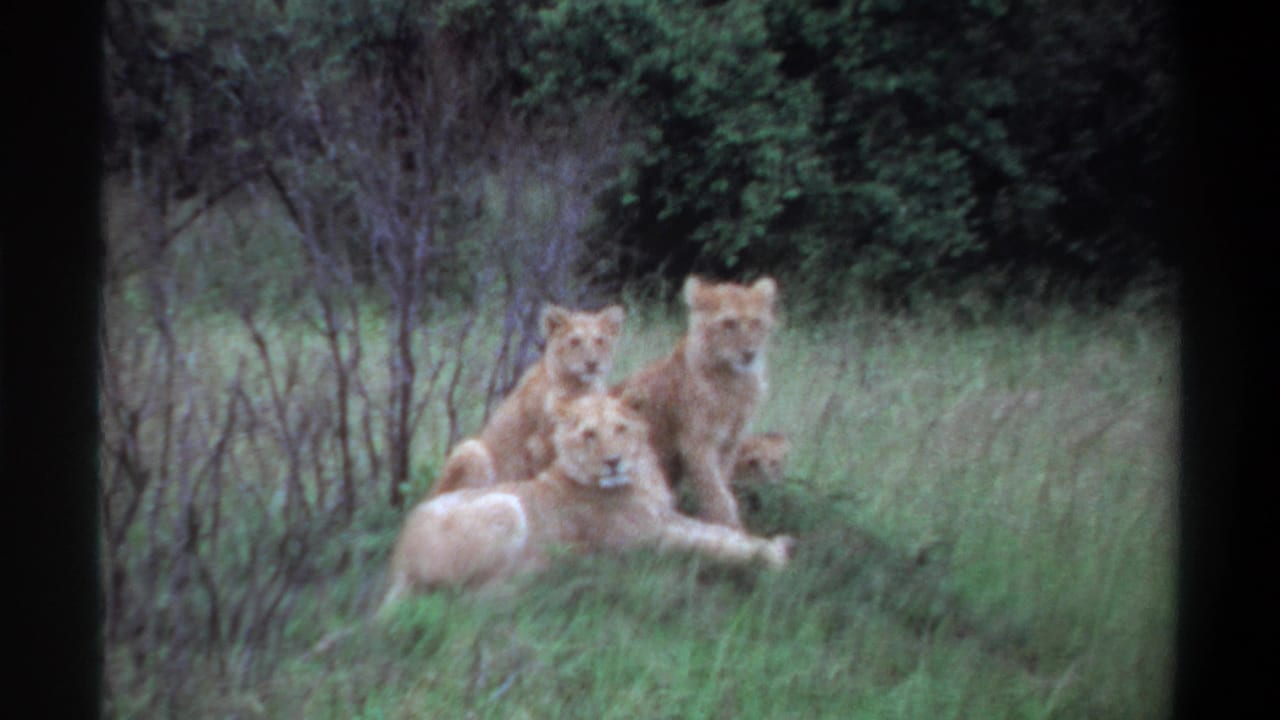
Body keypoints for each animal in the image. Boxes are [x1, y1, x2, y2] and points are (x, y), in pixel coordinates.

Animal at [381, 393, 792, 610]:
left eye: (621, 429)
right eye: (589, 435)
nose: (613, 461)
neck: (640, 476)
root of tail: (397, 557)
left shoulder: (665, 517)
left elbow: (719, 533)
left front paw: (772, 544)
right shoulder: (647, 540)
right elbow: (709, 545)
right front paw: (772, 557)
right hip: (505, 506)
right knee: (470, 598)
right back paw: (551, 576)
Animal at [427, 304, 625, 498]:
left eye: (600, 341)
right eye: (575, 342)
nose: (592, 364)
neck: (581, 386)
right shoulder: (538, 444)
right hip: (471, 450)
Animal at [613, 276, 778, 528]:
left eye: (756, 322)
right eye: (729, 323)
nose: (749, 353)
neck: (735, 382)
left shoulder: (730, 443)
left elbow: (721, 485)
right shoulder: (697, 443)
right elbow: (717, 493)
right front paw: (730, 527)